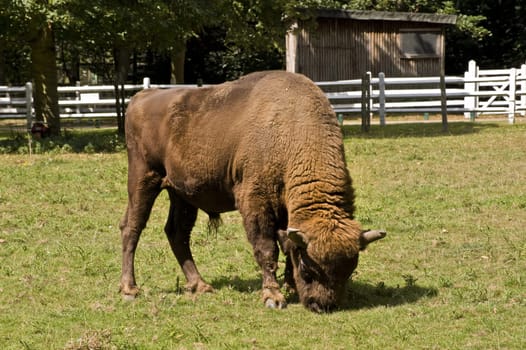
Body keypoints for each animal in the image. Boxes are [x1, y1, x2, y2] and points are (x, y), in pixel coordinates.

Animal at [119, 70, 386, 312]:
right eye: (308, 270)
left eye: (349, 270)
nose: (322, 305)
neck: (291, 128)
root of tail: (140, 97)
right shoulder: (256, 203)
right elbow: (267, 249)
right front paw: (273, 297)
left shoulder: (285, 211)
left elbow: (287, 245)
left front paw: (289, 285)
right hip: (143, 179)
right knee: (132, 227)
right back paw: (130, 290)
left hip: (182, 195)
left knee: (177, 233)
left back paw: (200, 286)